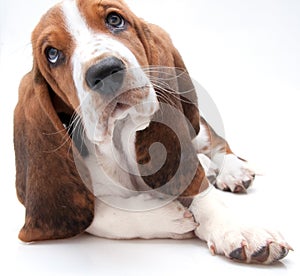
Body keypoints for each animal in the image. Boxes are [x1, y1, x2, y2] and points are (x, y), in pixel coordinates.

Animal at [13, 0, 290, 264]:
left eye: (115, 19)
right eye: (52, 54)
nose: (105, 70)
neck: (119, 138)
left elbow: (202, 193)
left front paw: (240, 230)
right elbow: (97, 213)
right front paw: (170, 216)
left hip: (198, 131)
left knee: (217, 142)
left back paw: (232, 171)